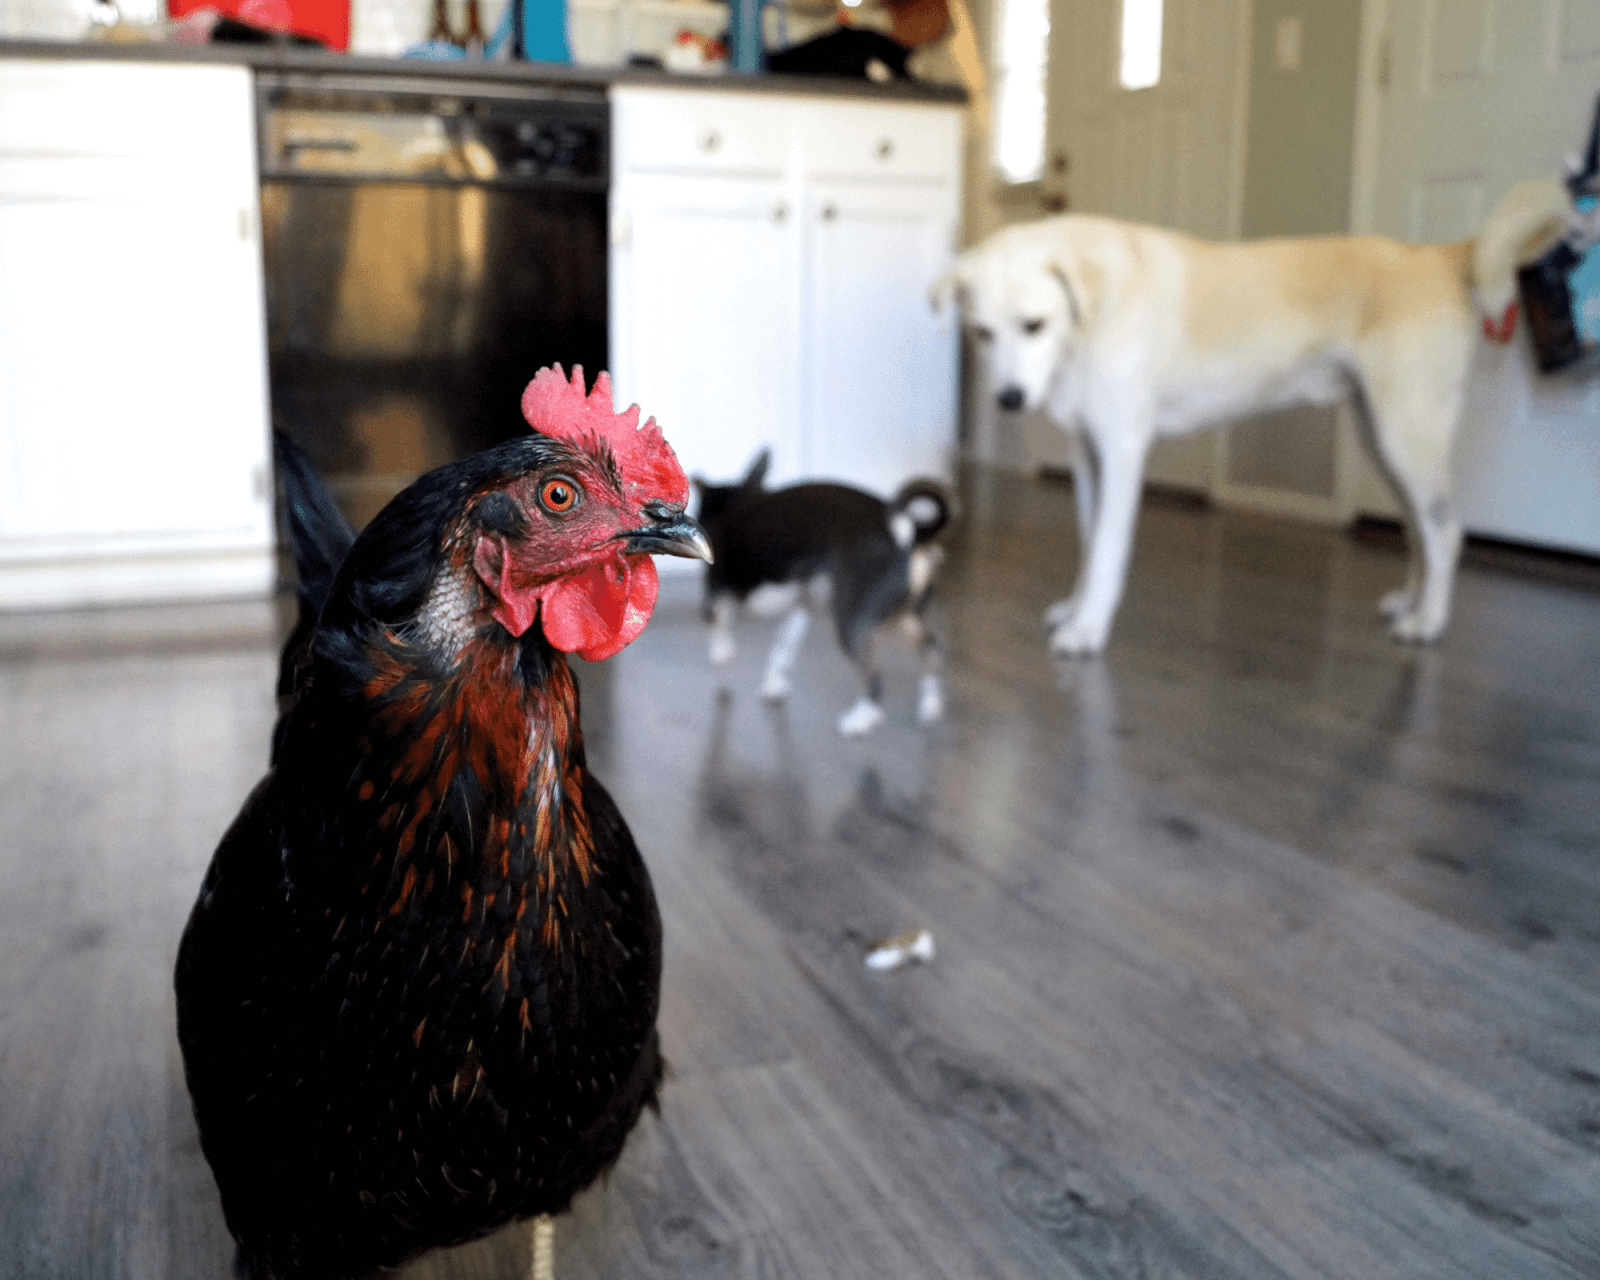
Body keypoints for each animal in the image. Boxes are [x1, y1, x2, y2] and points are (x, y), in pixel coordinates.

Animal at [697, 451, 947, 736]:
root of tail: (909, 532)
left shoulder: (715, 597)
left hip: (853, 624)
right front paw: (774, 683)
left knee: (874, 676)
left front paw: (722, 660)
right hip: (897, 616)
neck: (735, 503)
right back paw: (930, 705)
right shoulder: (801, 607)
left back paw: (861, 719)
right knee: (931, 649)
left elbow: (719, 633)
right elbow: (783, 648)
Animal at [934, 184, 1568, 656]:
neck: (1089, 317)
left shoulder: (1121, 451)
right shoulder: (1088, 457)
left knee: (1445, 530)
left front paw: (1087, 630)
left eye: (1034, 325)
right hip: (1383, 439)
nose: (1009, 400)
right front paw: (1077, 607)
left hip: (1408, 433)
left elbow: (1109, 550)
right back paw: (1413, 603)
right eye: (983, 333)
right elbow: (1092, 545)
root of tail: (1436, 256)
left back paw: (1429, 622)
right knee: (1420, 527)